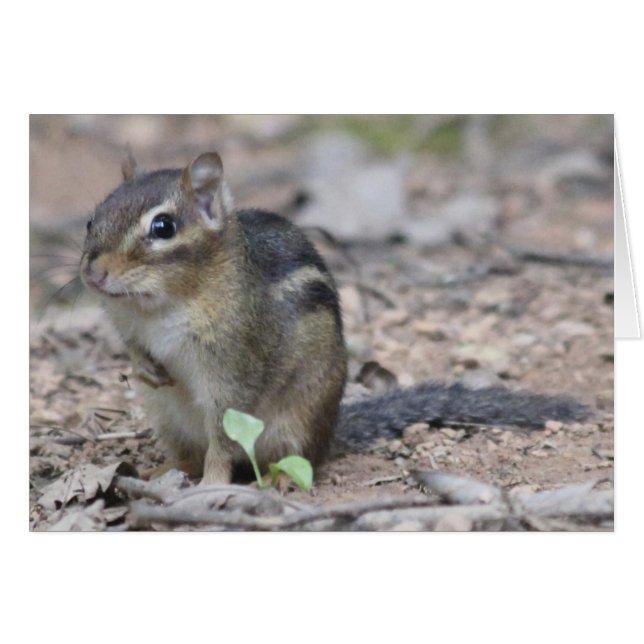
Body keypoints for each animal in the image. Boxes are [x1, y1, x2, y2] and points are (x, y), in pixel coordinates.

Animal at [80, 151, 589, 485]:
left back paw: (278, 482)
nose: (92, 272)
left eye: (163, 227)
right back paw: (159, 468)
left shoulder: (233, 368)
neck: (160, 305)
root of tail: (331, 431)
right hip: (165, 417)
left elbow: (225, 439)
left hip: (299, 418)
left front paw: (212, 486)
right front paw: (143, 365)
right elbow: (135, 349)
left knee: (293, 460)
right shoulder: (129, 325)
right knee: (188, 453)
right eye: (92, 219)